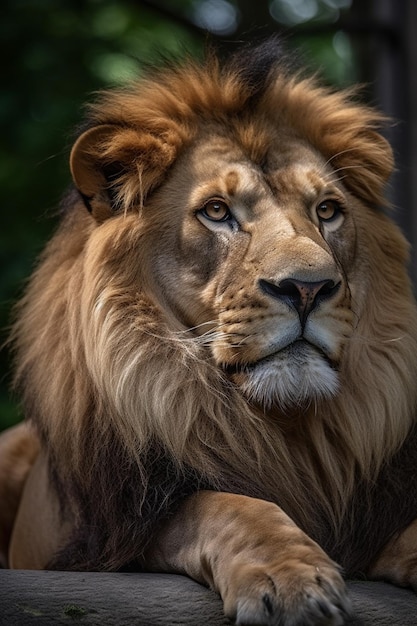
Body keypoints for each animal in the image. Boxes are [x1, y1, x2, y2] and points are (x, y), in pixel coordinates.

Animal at [0, 39, 416, 624]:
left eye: (328, 211)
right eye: (217, 211)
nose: (308, 288)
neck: (284, 429)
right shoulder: (111, 536)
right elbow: (226, 506)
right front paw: (288, 577)